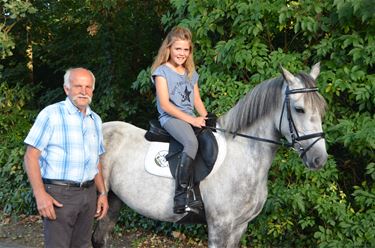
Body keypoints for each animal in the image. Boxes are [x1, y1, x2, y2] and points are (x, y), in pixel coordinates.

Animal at [92, 63, 328, 247]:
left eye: (321, 110)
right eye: (299, 109)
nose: (319, 159)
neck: (243, 156)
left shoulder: (239, 226)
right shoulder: (219, 226)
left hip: (112, 201)